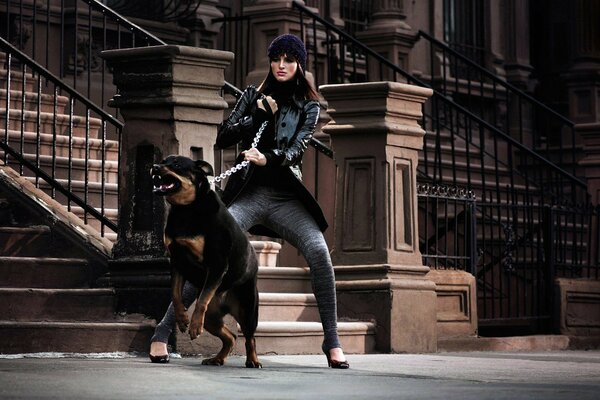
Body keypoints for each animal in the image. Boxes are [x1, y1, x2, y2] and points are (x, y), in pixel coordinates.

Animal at [150, 155, 260, 368]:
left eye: (176, 164)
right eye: (163, 160)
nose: (154, 166)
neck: (186, 208)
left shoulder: (217, 263)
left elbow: (201, 301)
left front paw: (192, 326)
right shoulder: (177, 261)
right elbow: (175, 294)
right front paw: (182, 319)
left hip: (247, 310)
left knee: (249, 338)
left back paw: (253, 360)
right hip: (212, 318)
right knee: (231, 336)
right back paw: (217, 359)